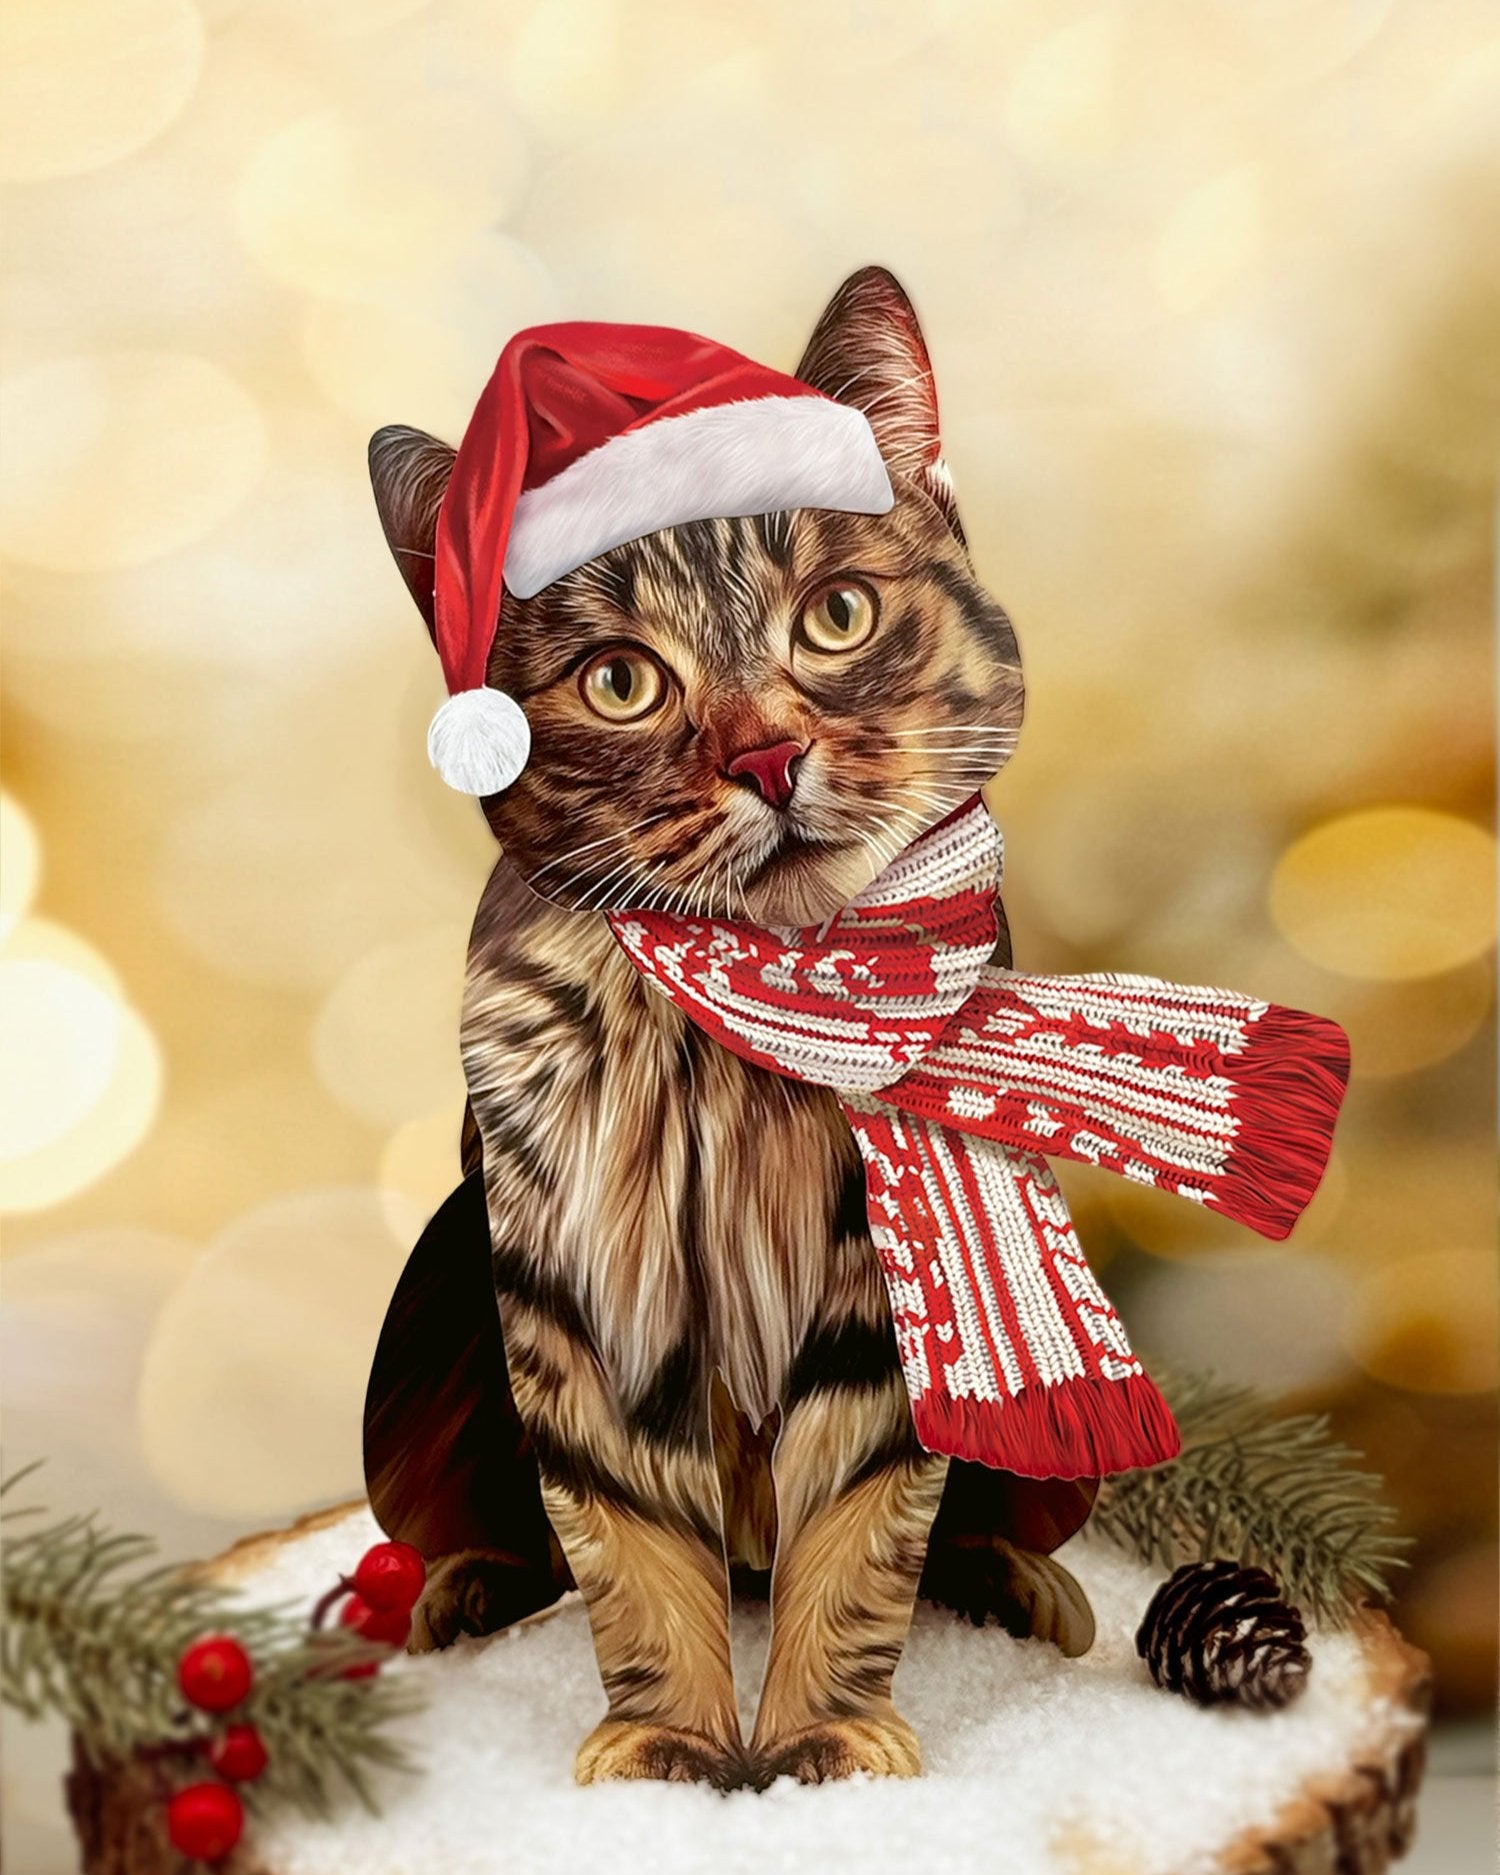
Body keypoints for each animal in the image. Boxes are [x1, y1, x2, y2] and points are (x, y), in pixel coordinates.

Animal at [358, 271, 1095, 1792]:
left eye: (838, 614)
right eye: (621, 682)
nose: (765, 754)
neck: (735, 1042)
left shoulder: (881, 1300)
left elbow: (862, 1539)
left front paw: (821, 1728)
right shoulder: (581, 1287)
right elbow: (627, 1547)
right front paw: (673, 1739)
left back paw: (1017, 1580)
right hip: (425, 1327)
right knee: (503, 1535)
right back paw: (464, 1588)